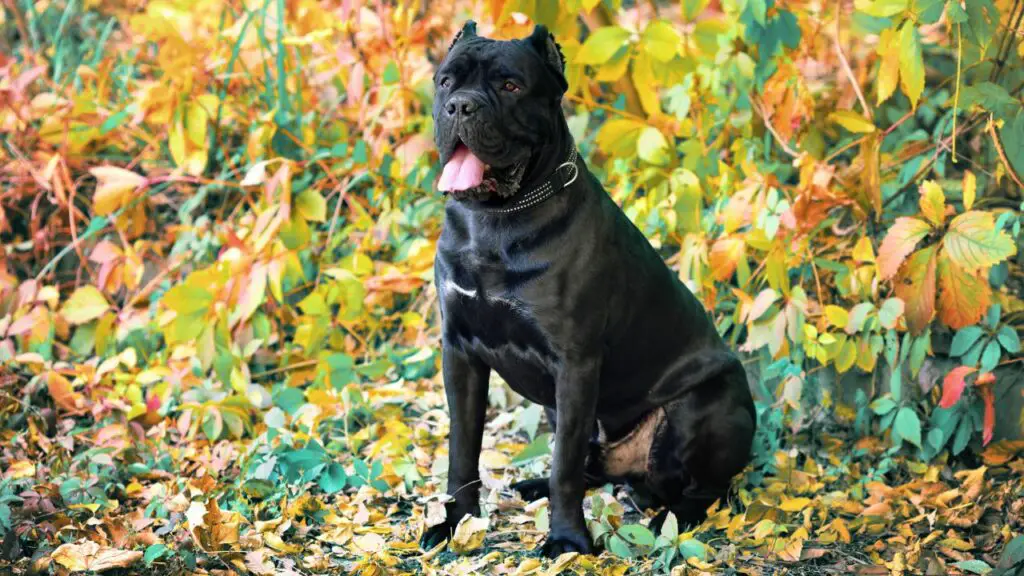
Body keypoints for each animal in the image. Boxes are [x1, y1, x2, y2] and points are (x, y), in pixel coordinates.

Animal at [419, 22, 757, 557]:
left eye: (510, 85)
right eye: (446, 82)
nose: (461, 107)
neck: (494, 220)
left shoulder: (575, 363)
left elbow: (564, 467)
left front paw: (567, 539)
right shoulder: (459, 351)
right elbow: (462, 449)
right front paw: (458, 521)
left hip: (707, 405)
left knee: (704, 489)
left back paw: (671, 518)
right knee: (592, 467)